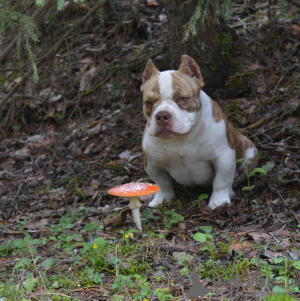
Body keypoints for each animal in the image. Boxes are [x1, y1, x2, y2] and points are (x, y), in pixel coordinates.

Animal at [141, 54, 258, 209]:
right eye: (148, 103)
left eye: (183, 99)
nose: (162, 116)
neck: (180, 139)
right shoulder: (153, 164)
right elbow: (163, 183)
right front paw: (162, 199)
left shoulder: (223, 157)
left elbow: (221, 181)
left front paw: (219, 201)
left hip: (250, 153)